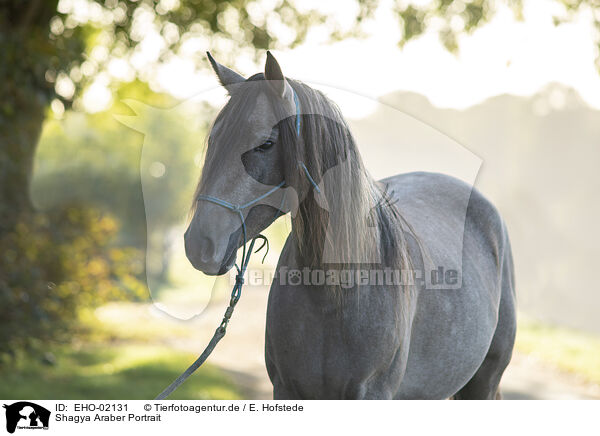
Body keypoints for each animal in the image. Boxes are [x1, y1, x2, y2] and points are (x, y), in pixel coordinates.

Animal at [185, 51, 516, 398]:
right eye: (214, 139)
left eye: (266, 144)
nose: (199, 244)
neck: (334, 292)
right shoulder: (286, 389)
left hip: (484, 381)